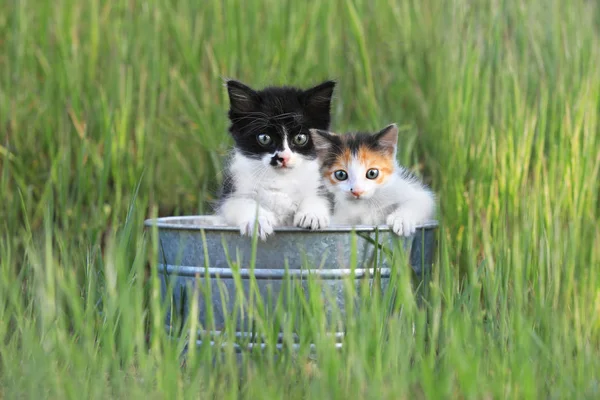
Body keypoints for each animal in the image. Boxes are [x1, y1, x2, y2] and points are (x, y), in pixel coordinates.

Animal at [217, 79, 338, 239]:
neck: (280, 179)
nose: (283, 157)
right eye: (264, 138)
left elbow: (319, 197)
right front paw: (258, 221)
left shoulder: (319, 183)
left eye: (300, 138)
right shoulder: (233, 191)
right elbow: (242, 203)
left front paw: (312, 214)